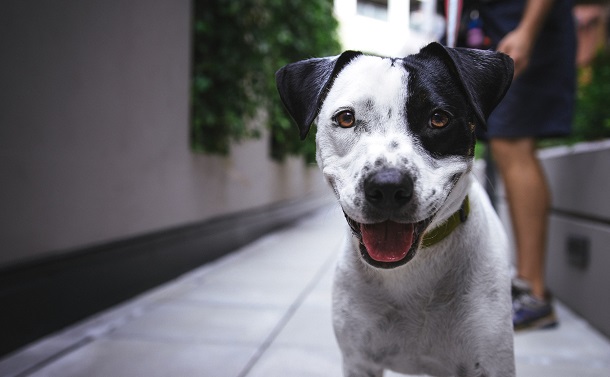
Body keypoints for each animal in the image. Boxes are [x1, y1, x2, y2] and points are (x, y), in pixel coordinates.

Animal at [278, 41, 516, 376]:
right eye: (346, 118)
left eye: (439, 118)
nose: (388, 186)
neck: (411, 271)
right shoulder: (359, 361)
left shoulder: (491, 362)